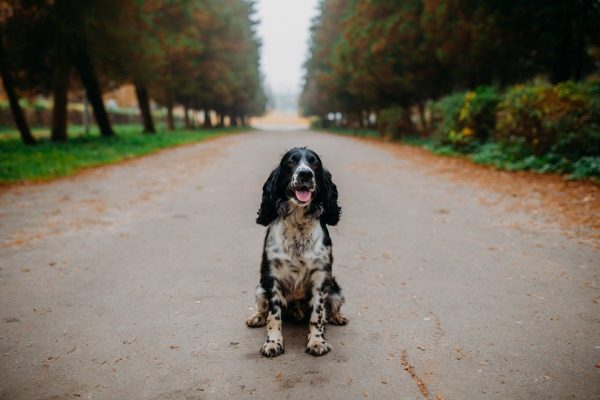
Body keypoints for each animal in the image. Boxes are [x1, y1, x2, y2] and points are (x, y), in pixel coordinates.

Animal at [244, 148, 346, 358]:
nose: (305, 174)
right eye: (291, 162)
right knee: (262, 307)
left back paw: (337, 317)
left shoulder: (321, 277)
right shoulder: (272, 277)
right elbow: (273, 316)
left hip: (336, 290)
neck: (298, 223)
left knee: (331, 308)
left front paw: (317, 342)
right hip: (260, 288)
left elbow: (317, 315)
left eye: (315, 163)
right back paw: (255, 317)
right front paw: (273, 343)